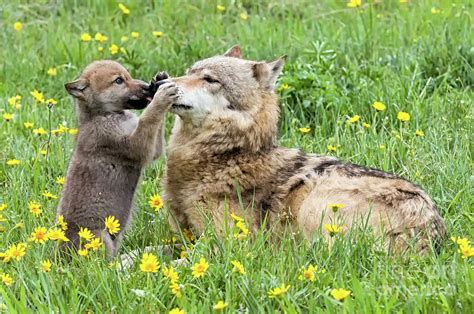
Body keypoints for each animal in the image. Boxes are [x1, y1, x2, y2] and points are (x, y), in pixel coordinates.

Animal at [163, 46, 444, 253]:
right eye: (188, 71)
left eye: (210, 79)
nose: (160, 81)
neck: (228, 154)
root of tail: (430, 237)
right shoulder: (181, 236)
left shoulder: (227, 245)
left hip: (313, 203)